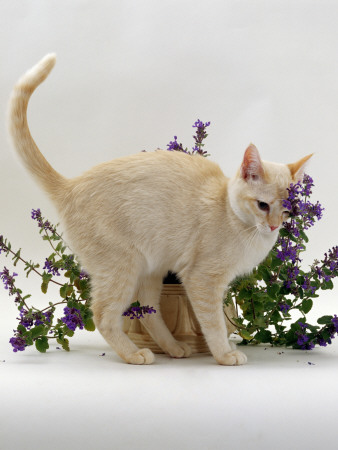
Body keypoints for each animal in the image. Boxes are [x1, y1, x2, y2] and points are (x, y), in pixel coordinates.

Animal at [7, 55, 312, 366]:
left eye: (288, 212)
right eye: (263, 205)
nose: (274, 226)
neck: (234, 218)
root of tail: (72, 185)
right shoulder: (203, 280)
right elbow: (214, 324)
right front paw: (225, 354)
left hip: (151, 268)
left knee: (147, 310)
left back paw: (173, 347)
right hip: (122, 268)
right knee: (104, 314)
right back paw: (133, 353)